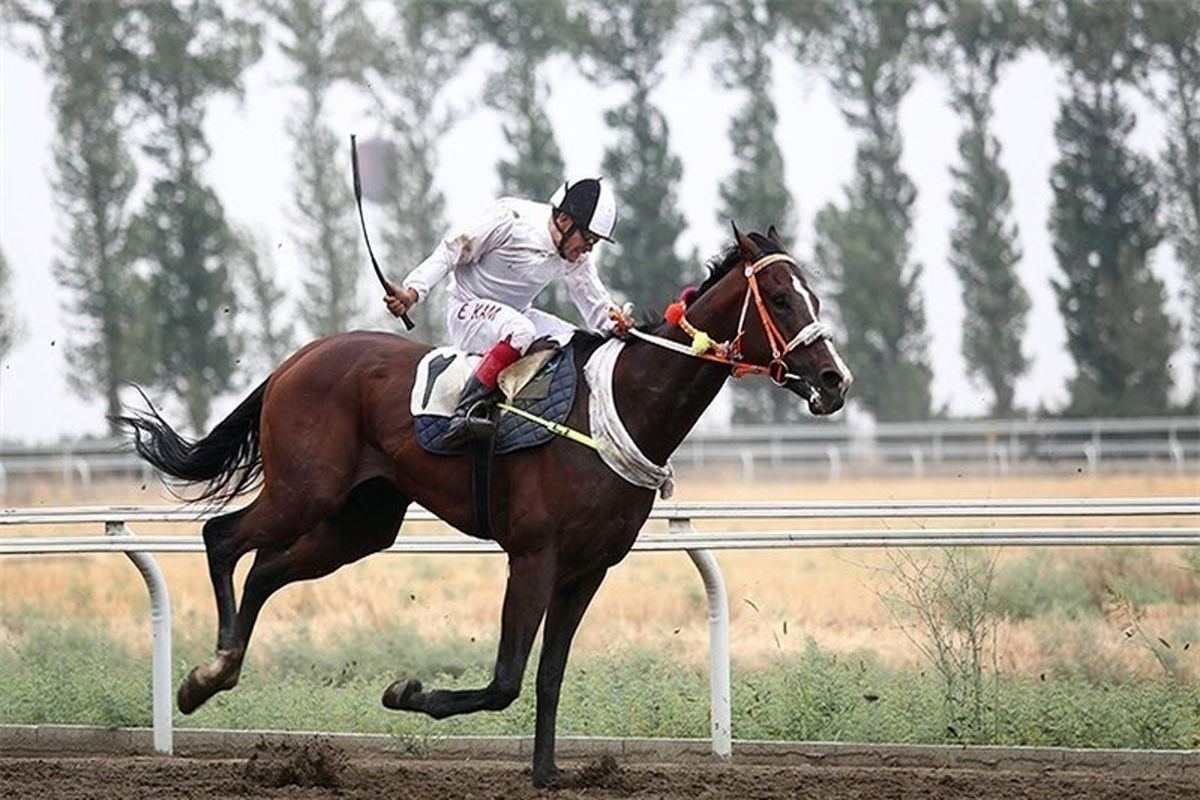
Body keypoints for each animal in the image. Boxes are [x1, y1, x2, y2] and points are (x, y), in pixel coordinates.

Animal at [117, 221, 854, 786]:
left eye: (813, 294)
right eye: (782, 299)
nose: (834, 380)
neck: (618, 405)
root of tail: (298, 358)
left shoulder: (589, 568)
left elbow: (550, 674)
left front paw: (549, 772)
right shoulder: (533, 555)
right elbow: (506, 678)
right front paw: (407, 691)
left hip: (360, 522)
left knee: (267, 568)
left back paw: (220, 672)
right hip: (305, 490)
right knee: (223, 537)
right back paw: (209, 671)